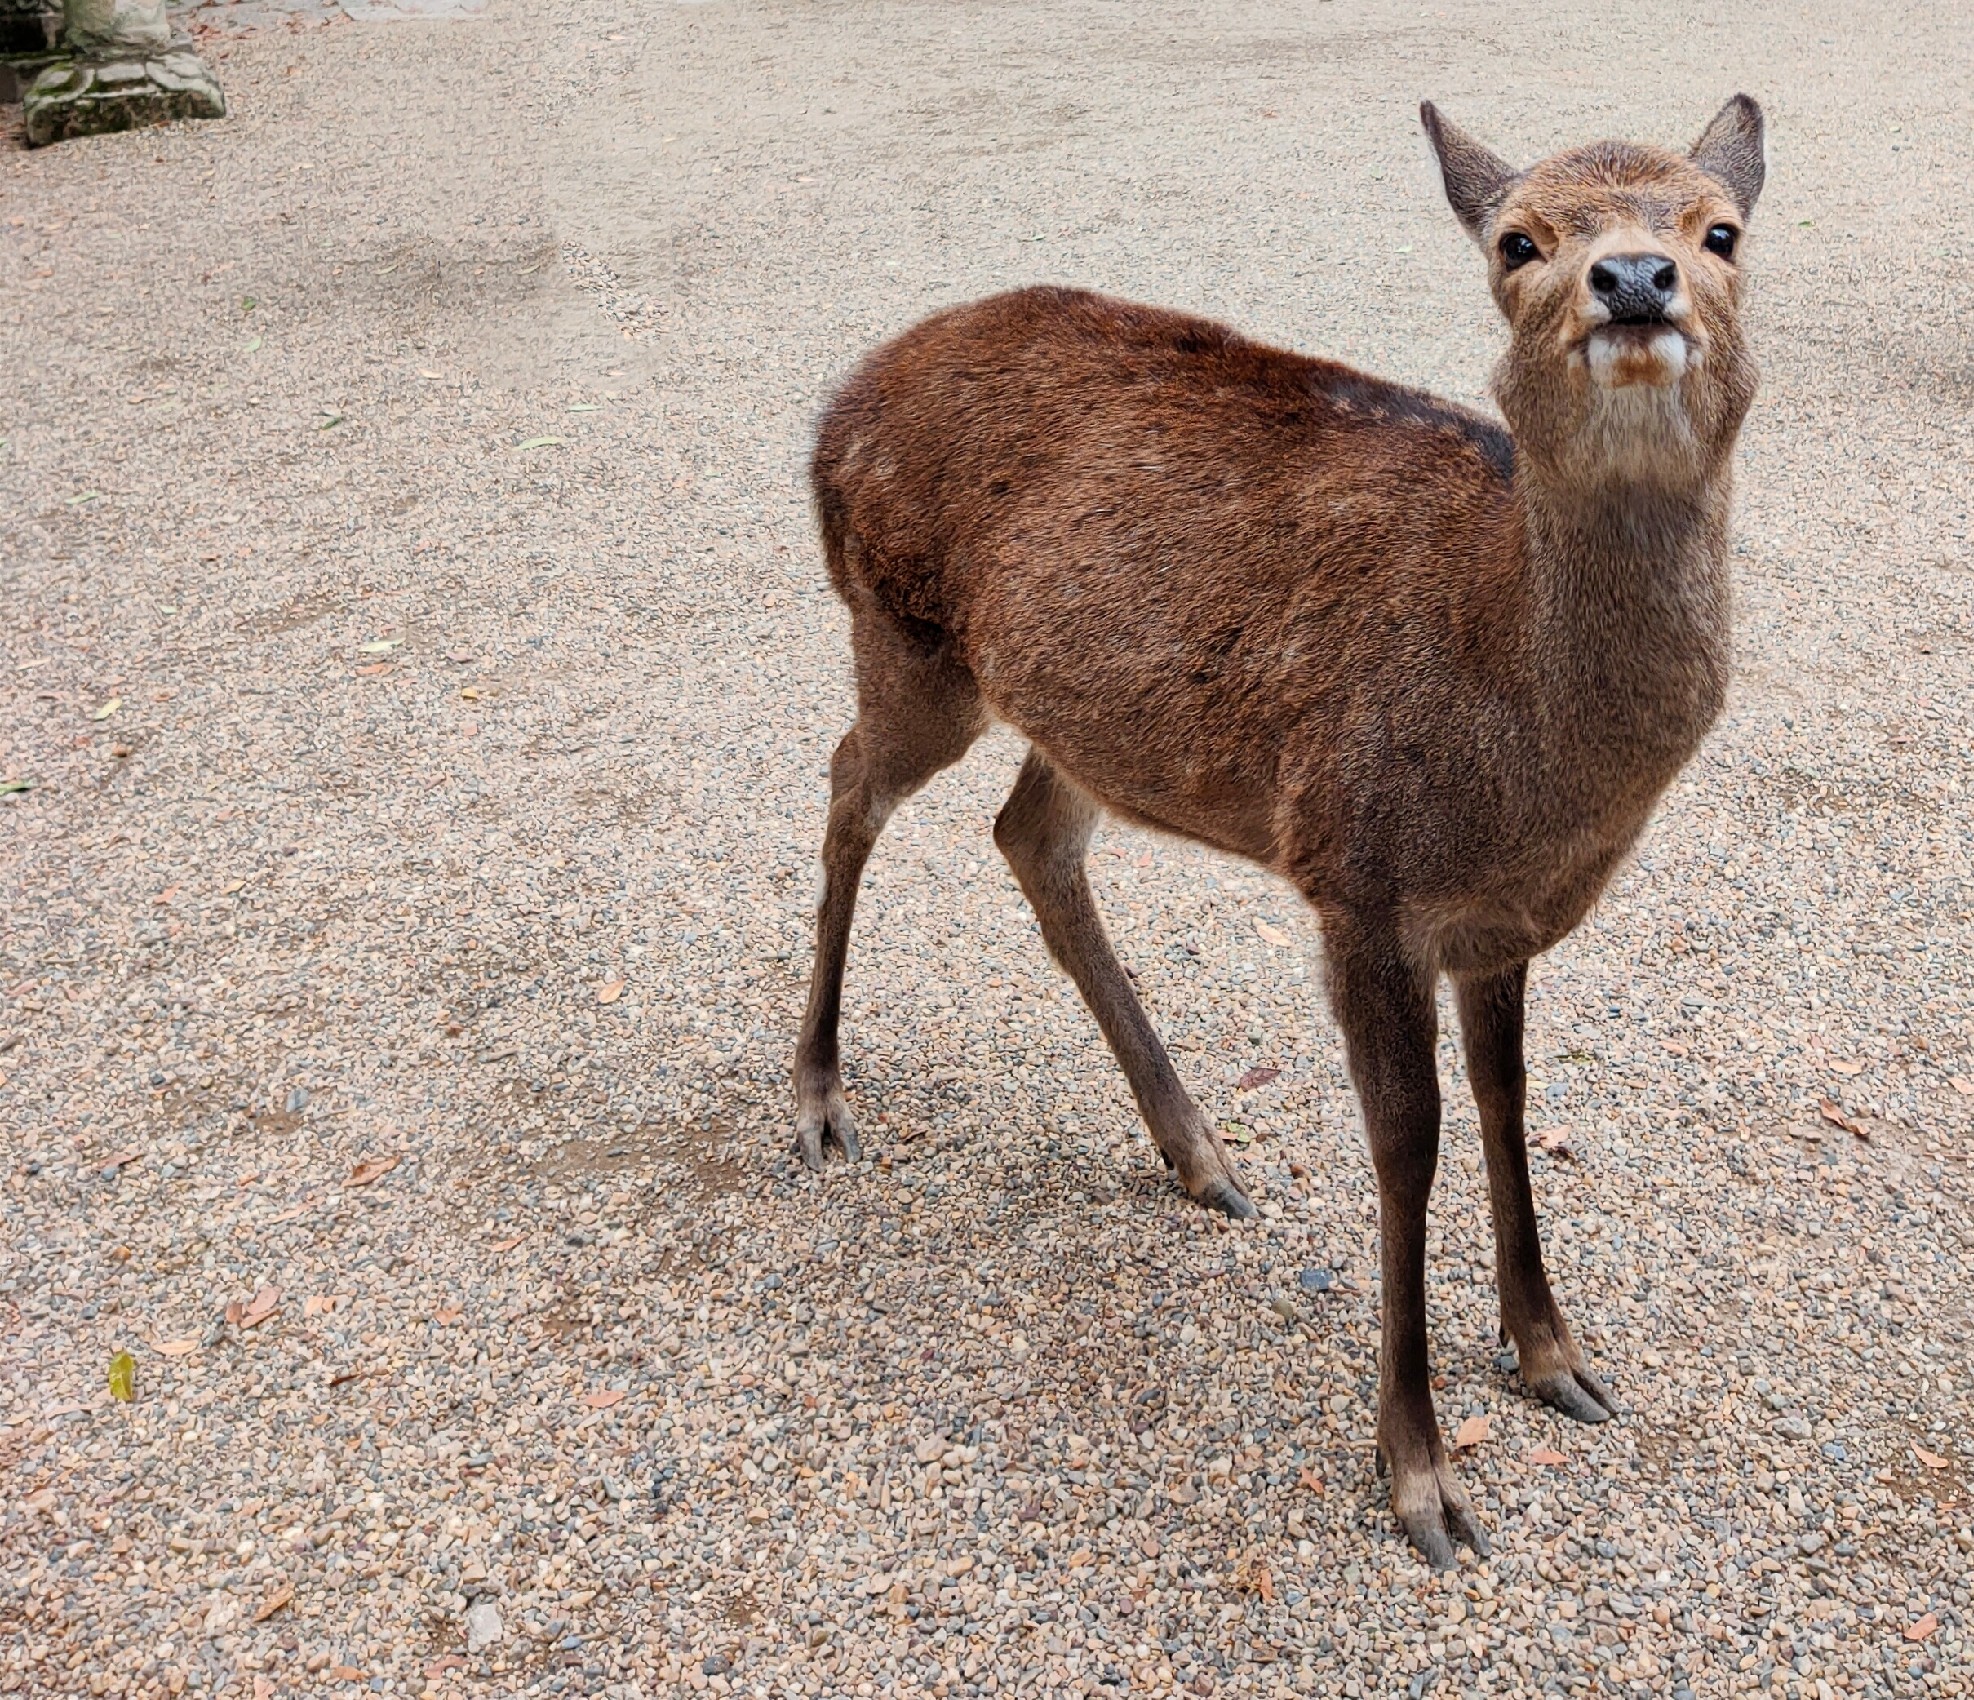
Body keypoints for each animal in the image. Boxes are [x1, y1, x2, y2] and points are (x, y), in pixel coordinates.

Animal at [793, 99, 1768, 1563]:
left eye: (1722, 229)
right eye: (1516, 239)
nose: (1635, 280)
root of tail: (836, 403)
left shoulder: (1498, 920)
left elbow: (1508, 1100)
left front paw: (1554, 1356)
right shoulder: (1359, 878)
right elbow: (1407, 1141)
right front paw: (1421, 1476)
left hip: (1079, 714)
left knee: (1028, 836)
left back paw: (1197, 1150)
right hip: (904, 636)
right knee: (849, 783)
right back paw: (817, 1096)